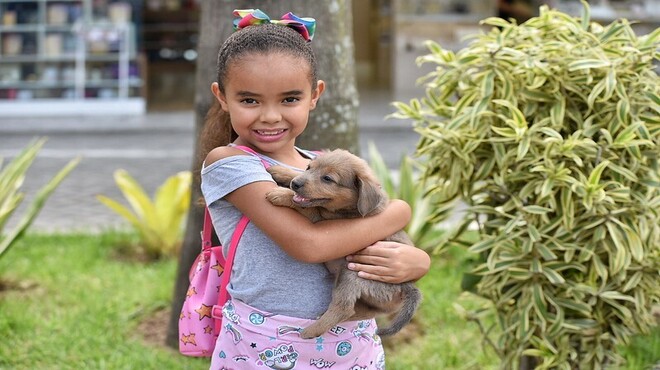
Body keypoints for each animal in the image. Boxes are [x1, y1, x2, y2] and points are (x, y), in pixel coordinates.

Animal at [266, 149, 420, 340]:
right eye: (309, 167)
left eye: (327, 179)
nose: (295, 184)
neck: (350, 208)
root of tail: (409, 286)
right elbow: (297, 177)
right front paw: (282, 171)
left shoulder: (319, 220)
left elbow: (306, 206)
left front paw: (281, 194)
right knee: (362, 311)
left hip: (351, 271)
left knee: (344, 308)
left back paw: (311, 331)